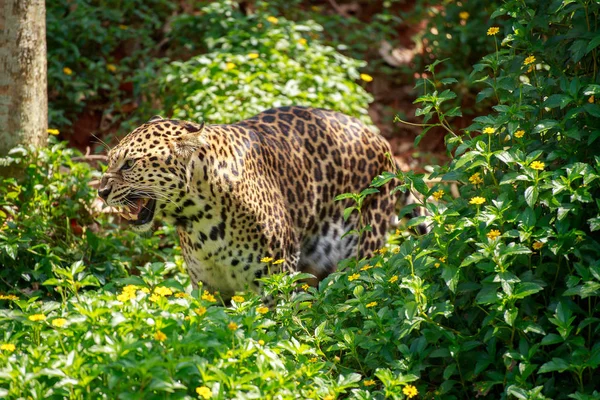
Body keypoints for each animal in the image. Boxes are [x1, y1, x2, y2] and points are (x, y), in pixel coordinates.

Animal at [97, 106, 418, 300]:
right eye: (110, 160)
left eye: (129, 164)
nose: (100, 192)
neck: (199, 220)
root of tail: (381, 141)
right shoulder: (208, 288)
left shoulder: (276, 278)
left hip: (361, 256)